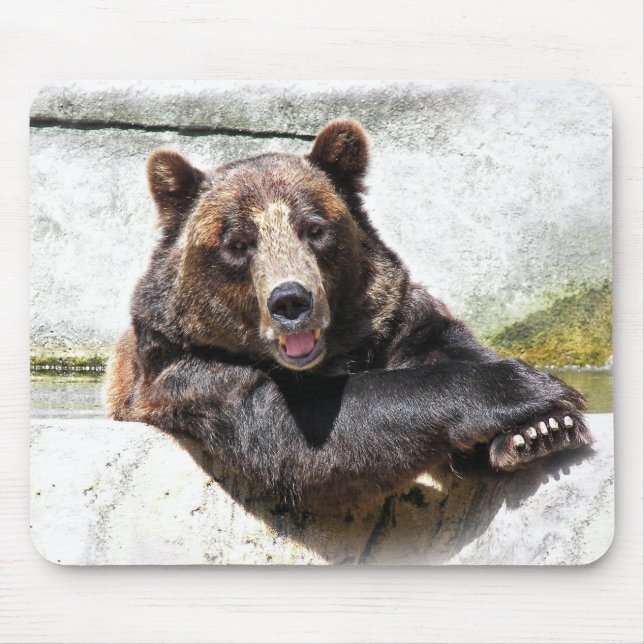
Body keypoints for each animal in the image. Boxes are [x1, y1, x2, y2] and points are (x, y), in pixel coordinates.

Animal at [106, 119, 593, 510]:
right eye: (238, 242)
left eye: (315, 228)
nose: (290, 301)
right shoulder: (193, 373)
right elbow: (302, 434)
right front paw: (529, 388)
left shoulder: (395, 319)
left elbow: (445, 344)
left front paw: (541, 430)